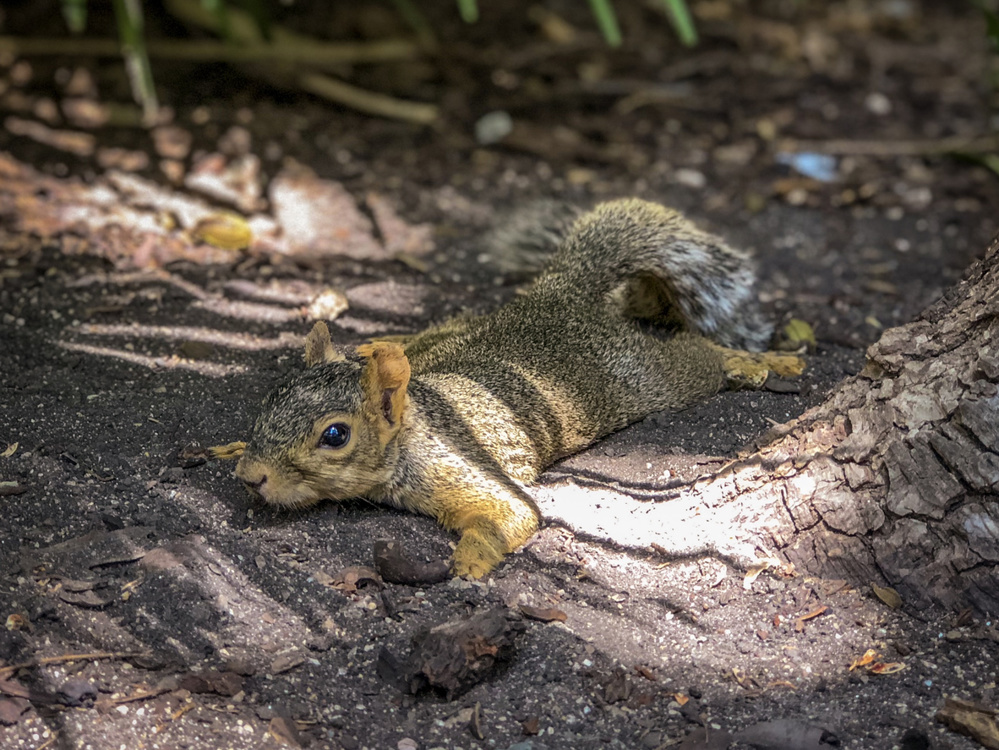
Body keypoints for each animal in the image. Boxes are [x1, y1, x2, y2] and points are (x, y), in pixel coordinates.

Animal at [230, 199, 803, 578]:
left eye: (335, 436)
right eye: (269, 402)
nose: (253, 478)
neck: (414, 430)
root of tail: (559, 293)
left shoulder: (465, 471)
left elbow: (512, 514)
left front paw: (472, 558)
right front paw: (232, 446)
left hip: (648, 375)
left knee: (698, 356)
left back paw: (759, 361)